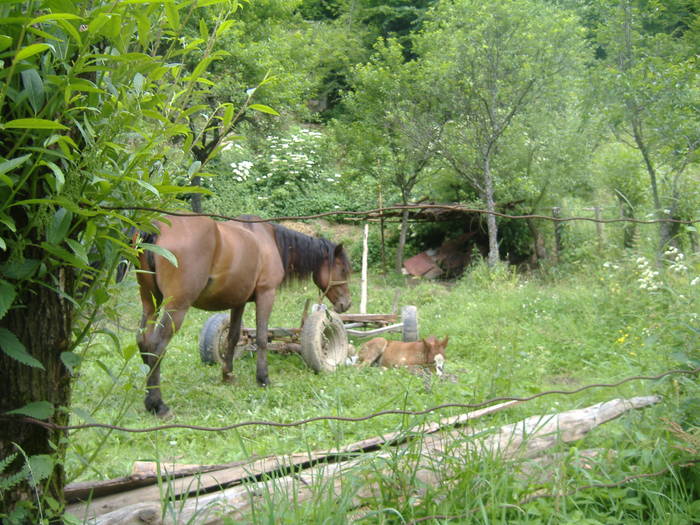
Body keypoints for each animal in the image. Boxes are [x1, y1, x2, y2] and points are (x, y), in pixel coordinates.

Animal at [135, 215, 352, 416]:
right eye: (342, 269)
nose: (346, 303)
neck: (267, 239)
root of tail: (156, 229)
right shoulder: (266, 295)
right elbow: (262, 338)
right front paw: (263, 379)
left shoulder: (238, 302)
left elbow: (233, 337)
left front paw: (227, 375)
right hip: (176, 307)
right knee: (156, 347)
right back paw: (158, 404)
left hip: (151, 304)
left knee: (143, 342)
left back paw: (148, 398)